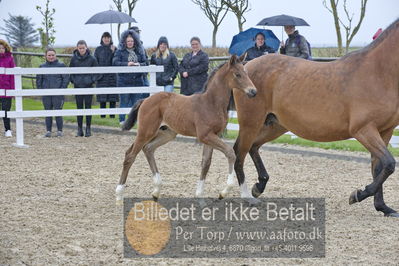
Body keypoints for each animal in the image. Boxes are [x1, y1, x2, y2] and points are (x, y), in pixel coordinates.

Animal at [117, 54, 258, 204]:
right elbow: (230, 153)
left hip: (166, 133)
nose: (253, 91)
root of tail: (145, 100)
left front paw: (200, 196)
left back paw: (156, 191)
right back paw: (119, 195)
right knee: (130, 155)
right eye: (237, 74)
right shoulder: (205, 136)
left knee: (148, 148)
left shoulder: (213, 135)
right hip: (146, 131)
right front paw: (223, 192)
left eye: (246, 73)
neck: (211, 103)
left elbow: (206, 163)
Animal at [231, 17, 399, 217]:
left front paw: (383, 207)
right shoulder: (363, 130)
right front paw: (357, 195)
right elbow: (389, 164)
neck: (378, 73)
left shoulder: (385, 131)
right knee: (239, 152)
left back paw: (259, 186)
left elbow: (380, 167)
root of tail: (246, 67)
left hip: (276, 125)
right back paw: (246, 195)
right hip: (251, 122)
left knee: (253, 147)